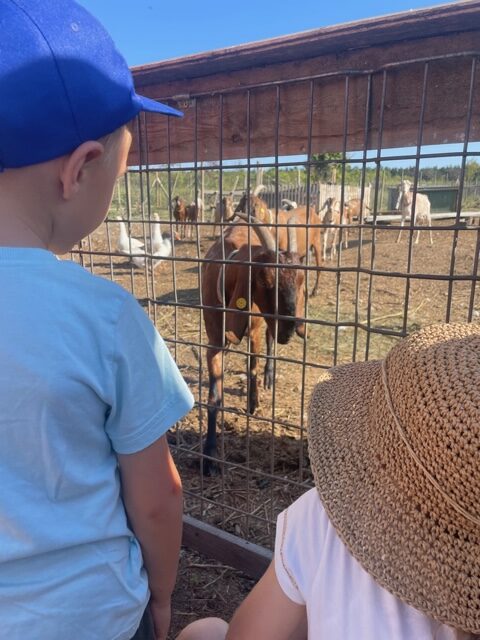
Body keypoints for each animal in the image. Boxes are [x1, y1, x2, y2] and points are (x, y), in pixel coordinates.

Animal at [202, 216, 306, 476]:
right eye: (264, 279)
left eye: (301, 279)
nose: (289, 329)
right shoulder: (214, 342)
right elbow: (214, 398)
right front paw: (210, 457)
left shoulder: (255, 330)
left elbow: (252, 367)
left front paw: (253, 402)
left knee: (268, 342)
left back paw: (268, 376)